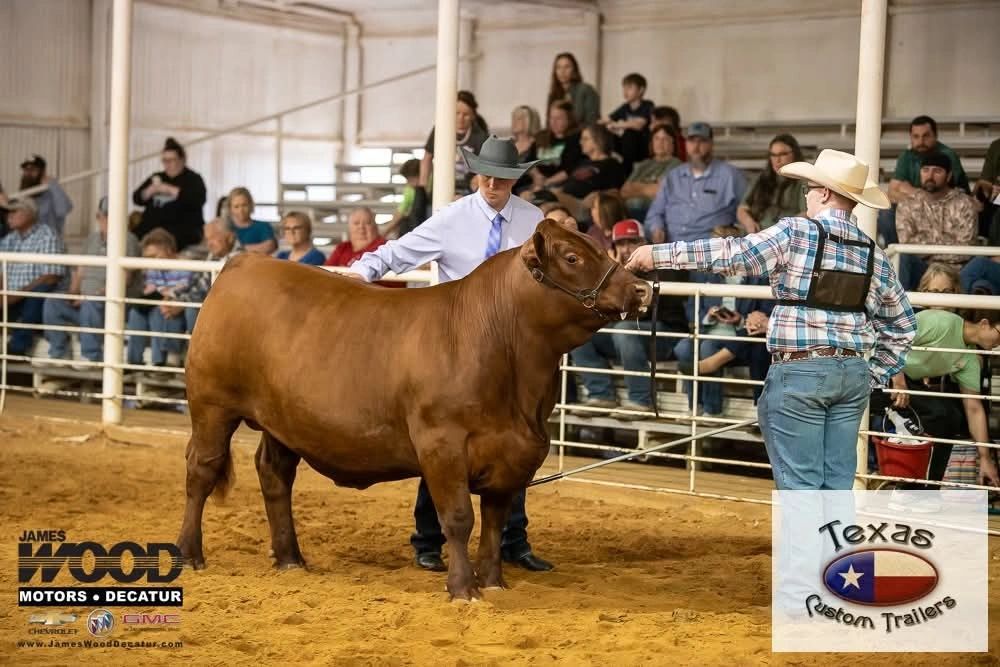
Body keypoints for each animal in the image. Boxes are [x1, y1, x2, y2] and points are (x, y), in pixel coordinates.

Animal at [177, 219, 653, 601]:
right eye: (573, 256)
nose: (640, 288)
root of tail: (243, 264)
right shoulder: (442, 444)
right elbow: (458, 518)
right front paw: (463, 589)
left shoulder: (511, 456)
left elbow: (495, 523)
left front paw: (494, 582)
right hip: (211, 404)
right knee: (202, 470)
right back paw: (188, 554)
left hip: (283, 421)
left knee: (275, 475)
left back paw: (291, 558)